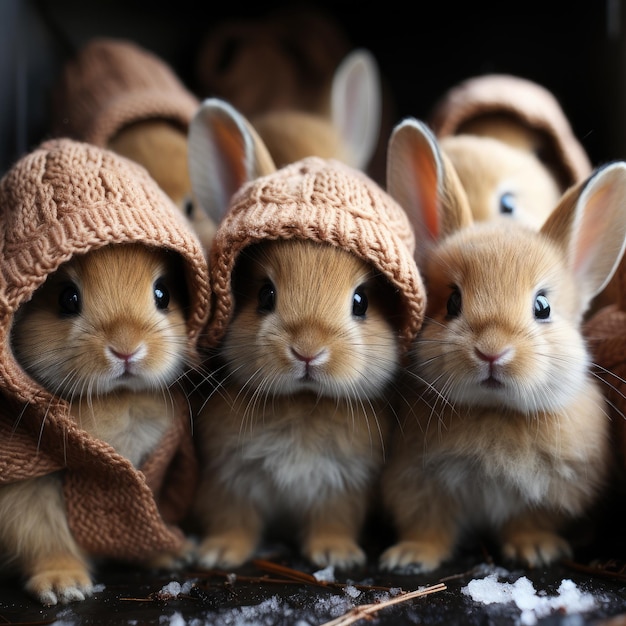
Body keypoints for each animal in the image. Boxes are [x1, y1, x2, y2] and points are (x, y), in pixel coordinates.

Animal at [4, 243, 194, 600]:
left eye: (163, 294)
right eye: (67, 298)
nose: (126, 349)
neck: (118, 396)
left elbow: (145, 525)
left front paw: (171, 556)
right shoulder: (30, 490)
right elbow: (44, 539)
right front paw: (63, 585)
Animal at [378, 117, 624, 572]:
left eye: (543, 307)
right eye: (452, 303)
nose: (492, 352)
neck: (494, 410)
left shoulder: (550, 492)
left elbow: (527, 522)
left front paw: (537, 550)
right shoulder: (418, 483)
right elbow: (429, 527)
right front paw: (409, 557)